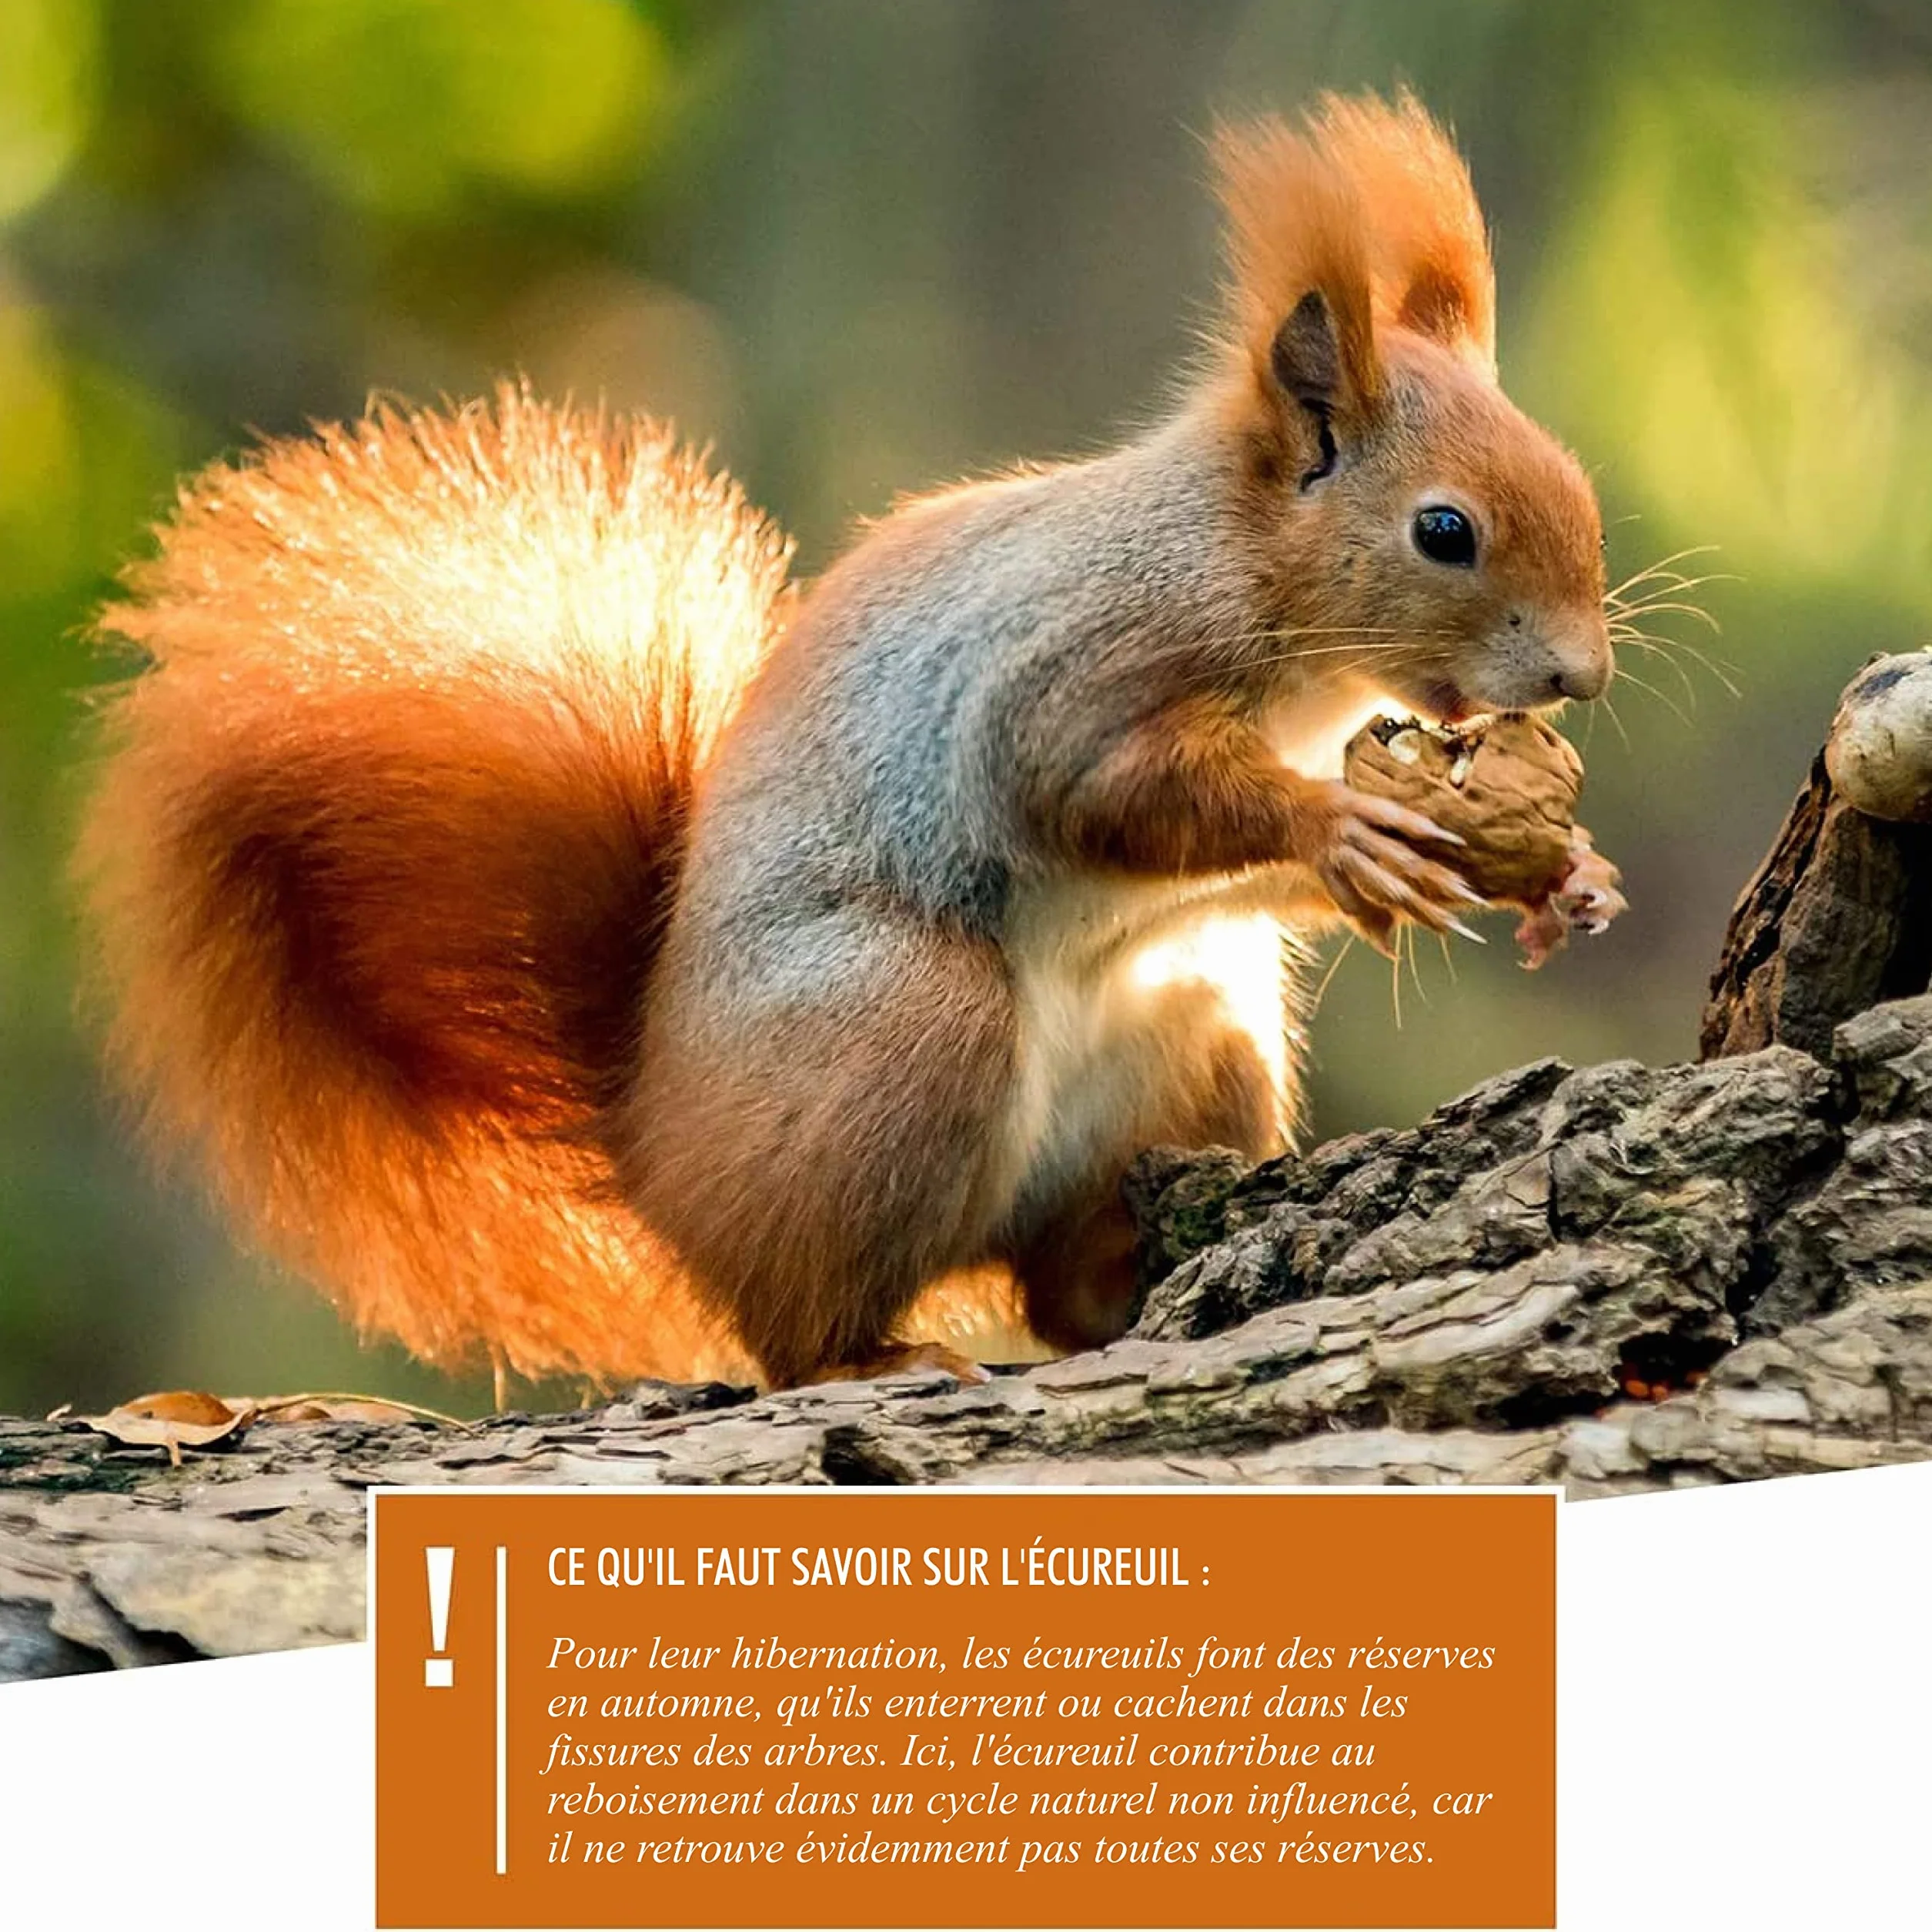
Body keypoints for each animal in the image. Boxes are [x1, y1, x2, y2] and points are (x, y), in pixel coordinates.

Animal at [77, 93, 1615, 1394]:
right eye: (1443, 530)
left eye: (1575, 481)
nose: (1582, 676)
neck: (1258, 585)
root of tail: (654, 1144)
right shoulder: (1074, 670)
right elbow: (1102, 793)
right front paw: (1344, 828)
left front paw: (1563, 878)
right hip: (902, 1030)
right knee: (795, 1325)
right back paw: (869, 1353)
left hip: (1196, 1044)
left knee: (1055, 1286)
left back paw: (1114, 1289)